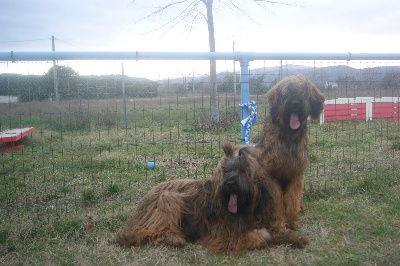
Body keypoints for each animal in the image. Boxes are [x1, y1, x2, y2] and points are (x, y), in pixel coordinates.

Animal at [115, 144, 272, 255]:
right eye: (225, 171)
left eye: (242, 170)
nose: (229, 183)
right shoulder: (221, 233)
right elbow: (261, 236)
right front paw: (259, 235)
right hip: (168, 199)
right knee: (148, 232)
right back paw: (174, 238)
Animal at [250, 74, 324, 239]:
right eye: (286, 91)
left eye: (303, 91)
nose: (295, 103)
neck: (289, 136)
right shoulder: (271, 175)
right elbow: (276, 201)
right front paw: (278, 224)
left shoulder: (296, 174)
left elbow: (292, 198)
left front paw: (292, 222)